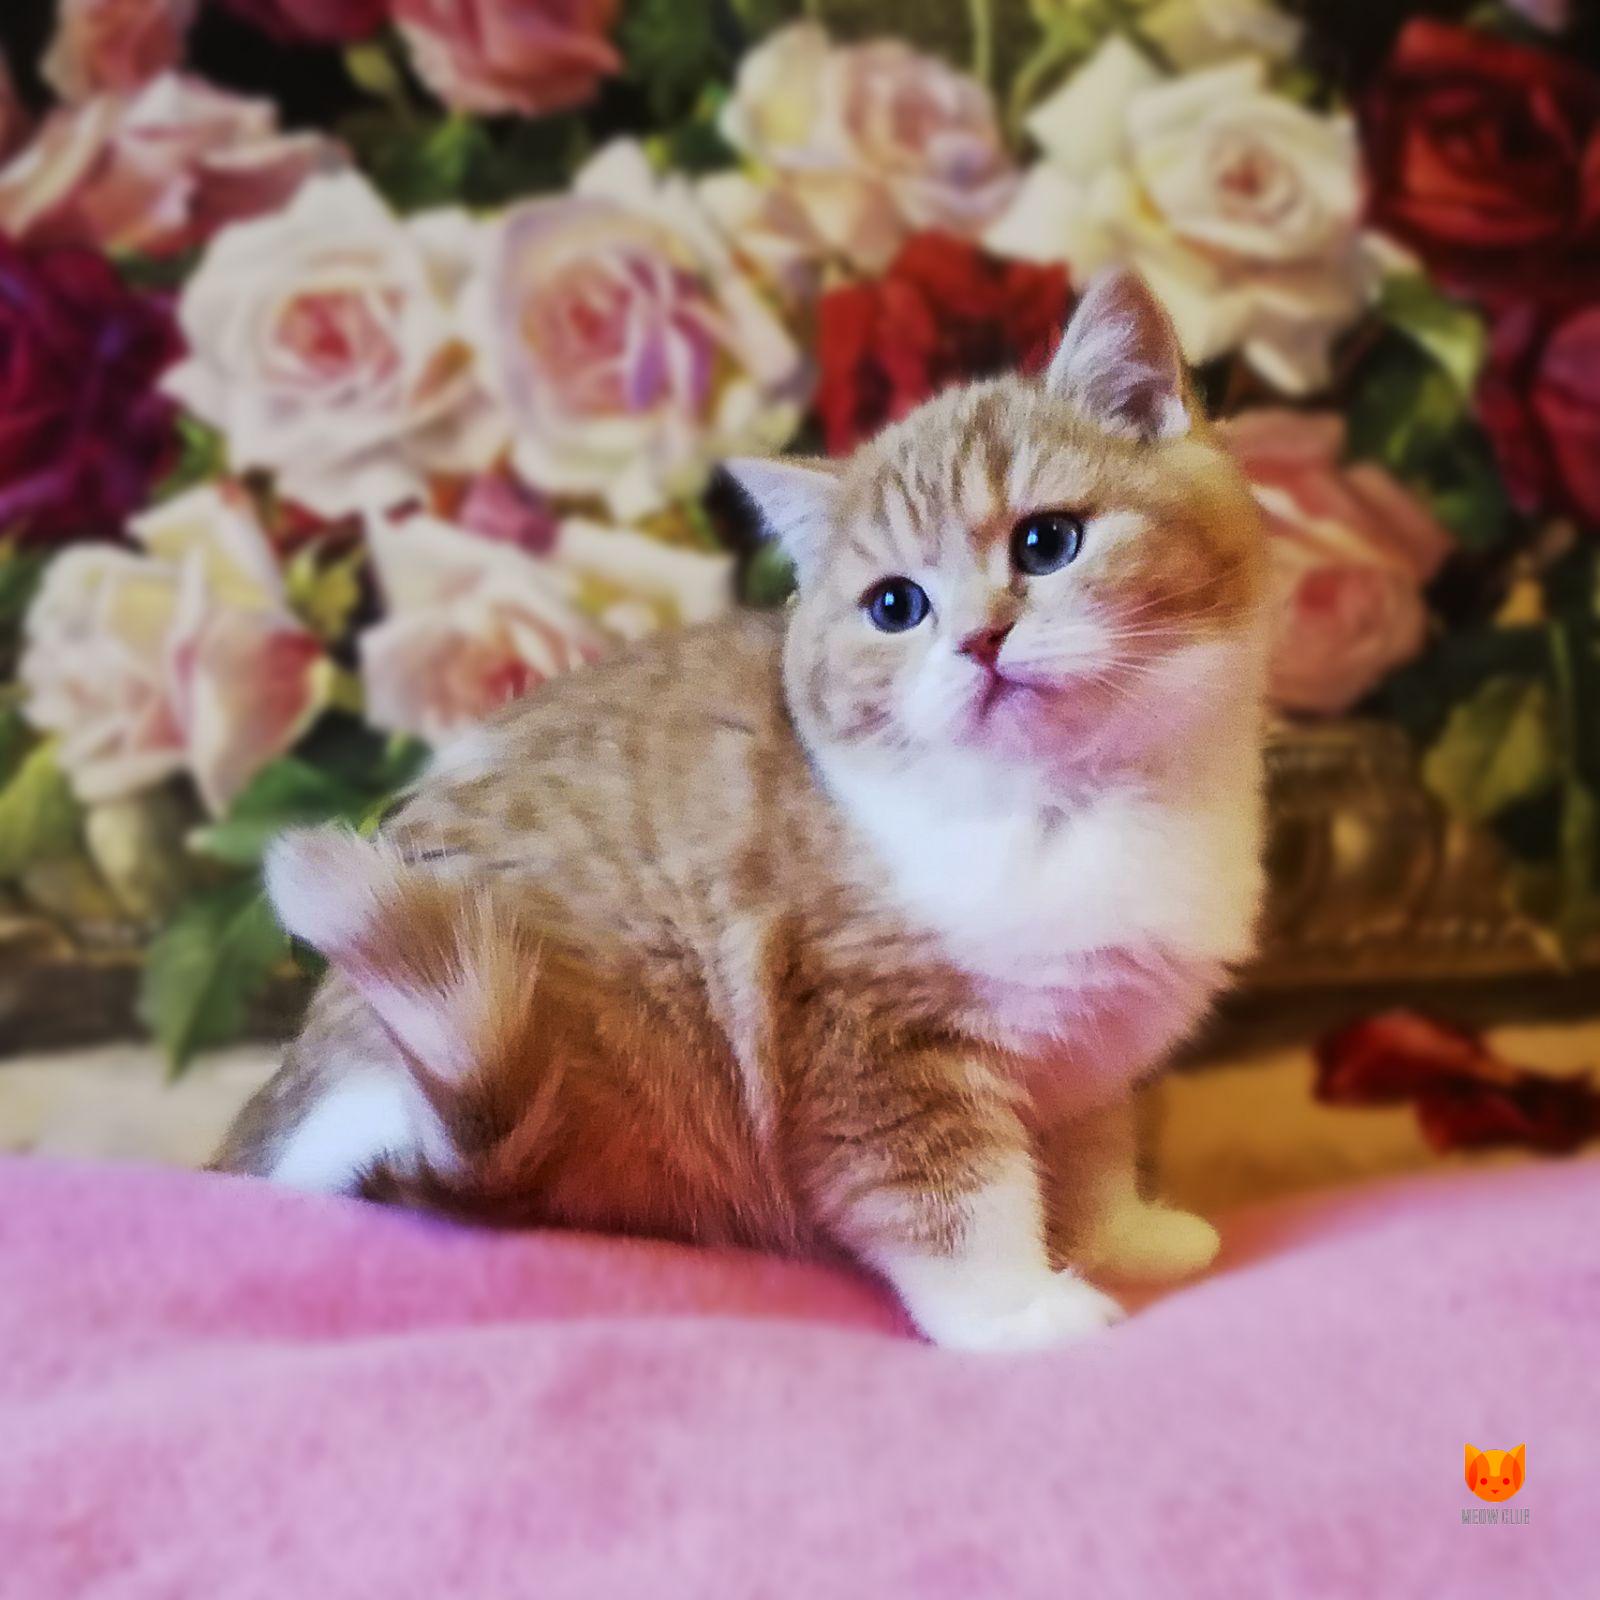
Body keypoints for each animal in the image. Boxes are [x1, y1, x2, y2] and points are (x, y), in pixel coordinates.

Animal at [214, 269, 1271, 1353]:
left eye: (1047, 540)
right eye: (896, 606)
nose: (980, 640)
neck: (1062, 805)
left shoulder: (1088, 1050)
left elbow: (1095, 1150)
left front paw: (1124, 1236)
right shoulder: (859, 1036)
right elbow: (945, 1190)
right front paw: (1014, 1308)